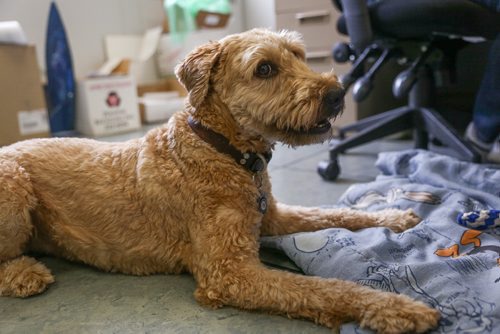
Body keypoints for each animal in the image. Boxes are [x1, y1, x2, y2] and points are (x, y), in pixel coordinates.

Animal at [0, 30, 438, 332]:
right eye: (265, 68)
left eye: (297, 54)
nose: (337, 93)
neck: (223, 150)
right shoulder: (229, 273)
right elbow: (325, 288)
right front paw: (398, 308)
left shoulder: (271, 216)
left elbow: (331, 212)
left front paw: (395, 217)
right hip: (14, 187)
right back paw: (24, 274)